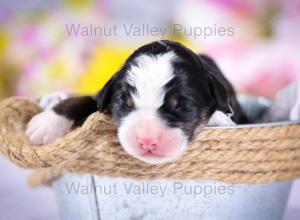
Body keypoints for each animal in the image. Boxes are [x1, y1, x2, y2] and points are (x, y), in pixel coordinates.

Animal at [25, 40, 247, 163]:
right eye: (125, 103)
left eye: (183, 106)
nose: (147, 141)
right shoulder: (101, 96)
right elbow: (81, 100)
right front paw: (46, 124)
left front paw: (218, 118)